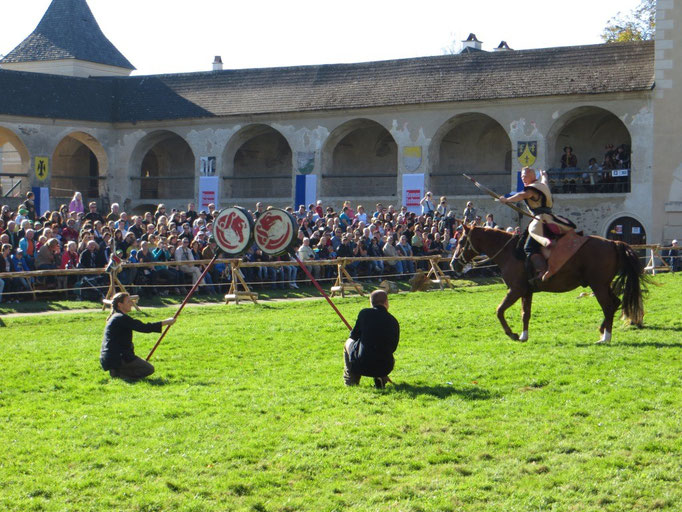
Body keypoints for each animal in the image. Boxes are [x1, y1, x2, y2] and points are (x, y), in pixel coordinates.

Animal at [452, 225, 644, 342]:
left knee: (608, 306)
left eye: (461, 241)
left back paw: (606, 337)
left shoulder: (515, 290)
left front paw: (512, 334)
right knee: (615, 303)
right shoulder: (526, 292)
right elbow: (525, 314)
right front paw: (523, 336)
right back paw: (603, 331)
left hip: (598, 286)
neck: (511, 252)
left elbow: (499, 310)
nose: (454, 264)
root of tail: (613, 242)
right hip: (602, 285)